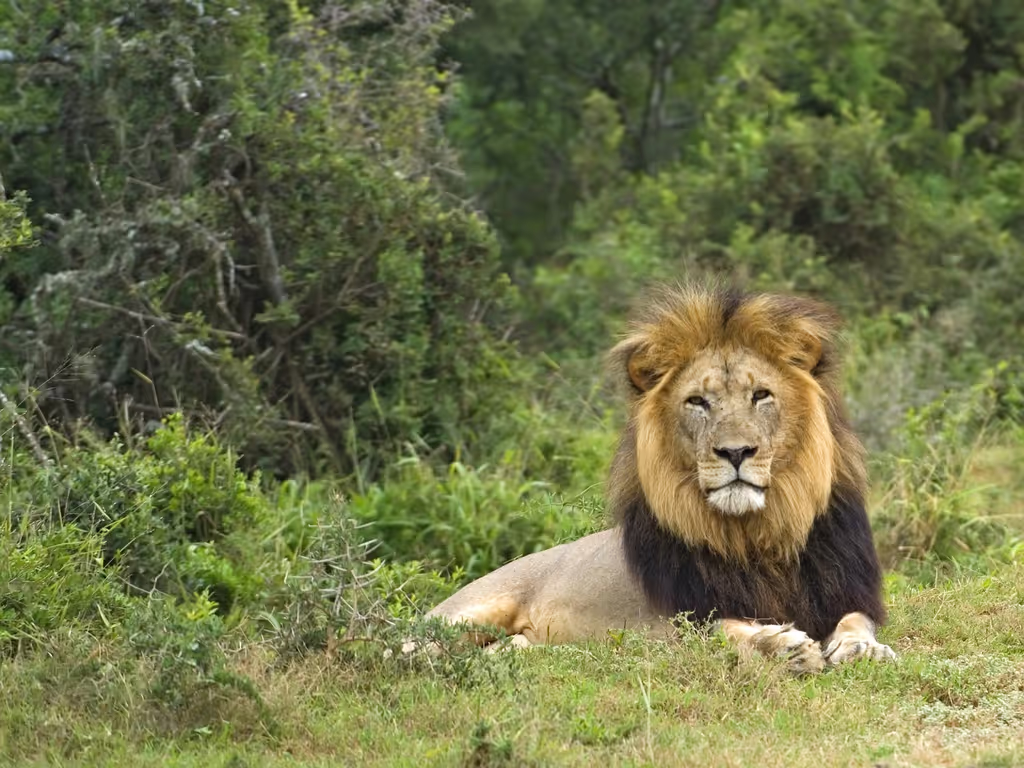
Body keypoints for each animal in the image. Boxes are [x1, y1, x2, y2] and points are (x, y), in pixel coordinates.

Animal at [414, 286, 896, 673]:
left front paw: (862, 649)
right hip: (463, 616)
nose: (735, 452)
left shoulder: (846, 591)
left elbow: (856, 621)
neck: (757, 535)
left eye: (761, 395)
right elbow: (724, 628)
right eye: (697, 401)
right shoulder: (673, 619)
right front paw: (782, 647)